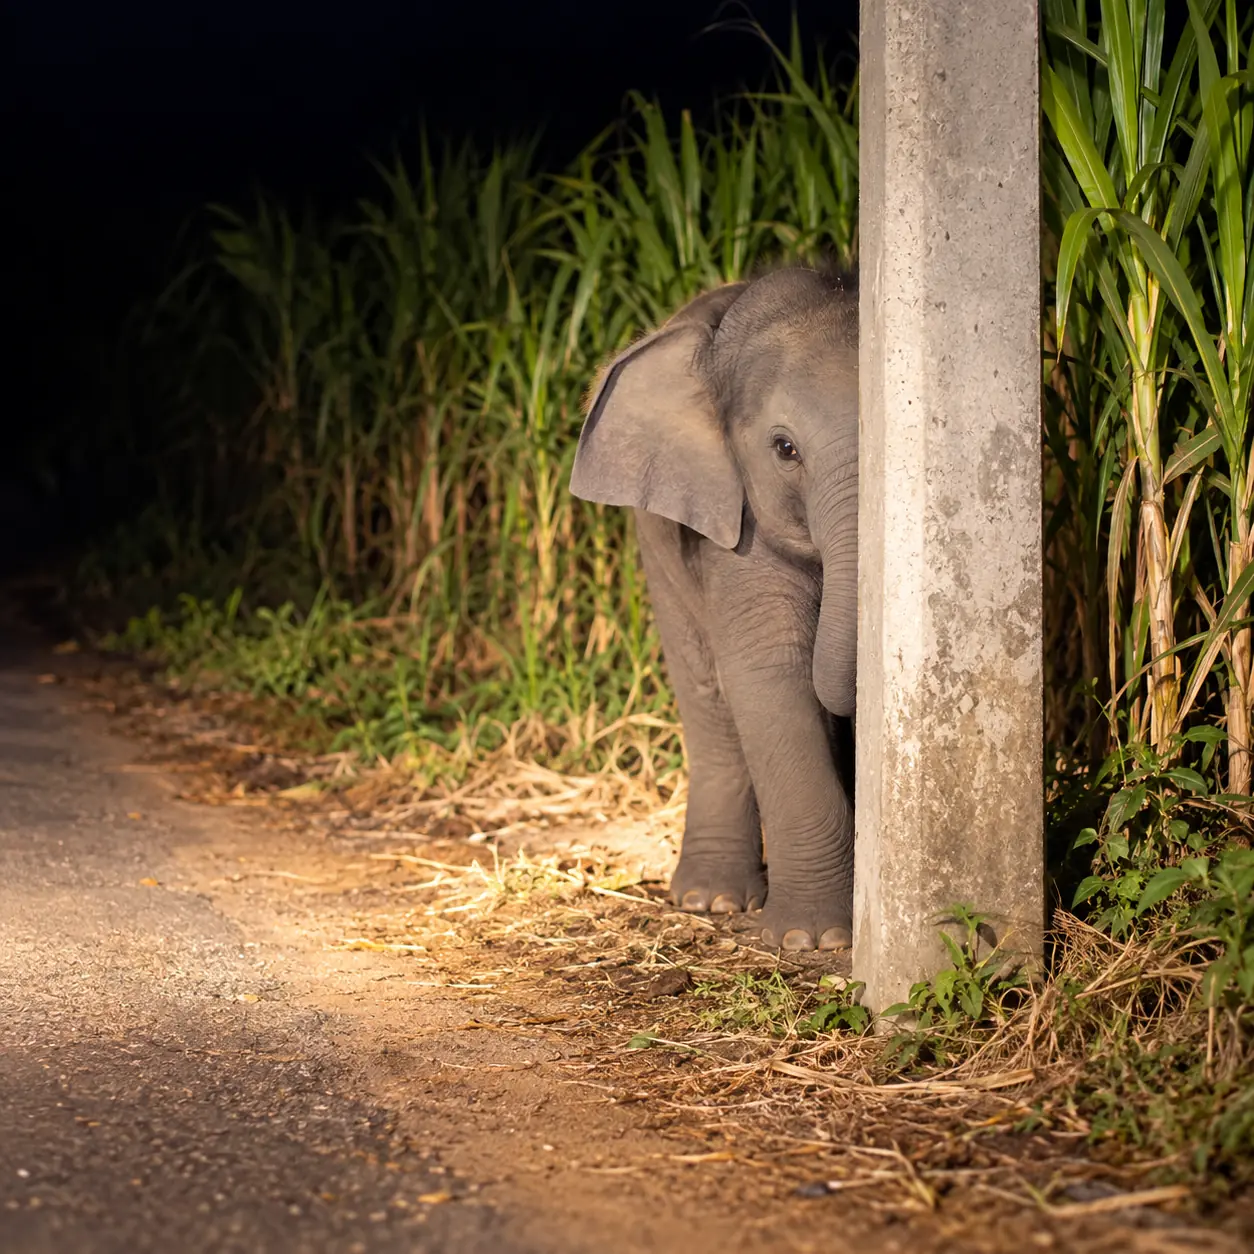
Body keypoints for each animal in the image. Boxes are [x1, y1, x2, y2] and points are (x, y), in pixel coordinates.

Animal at [569, 266, 859, 952]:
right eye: (784, 449)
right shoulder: (733, 519)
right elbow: (768, 672)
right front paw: (813, 940)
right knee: (707, 693)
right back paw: (713, 901)